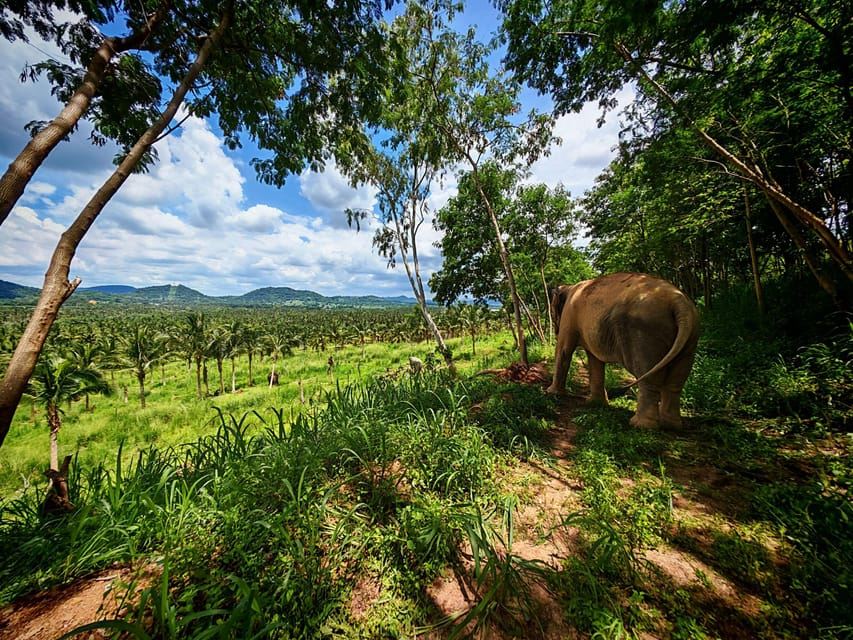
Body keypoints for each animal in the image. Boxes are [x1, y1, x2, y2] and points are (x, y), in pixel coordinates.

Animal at [547, 272, 700, 428]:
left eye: (552, 312)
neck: (569, 287)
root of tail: (679, 302)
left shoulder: (569, 313)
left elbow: (564, 350)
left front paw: (551, 393)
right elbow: (594, 359)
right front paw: (595, 403)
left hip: (645, 332)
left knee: (648, 375)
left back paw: (640, 425)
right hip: (691, 336)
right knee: (676, 381)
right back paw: (671, 424)